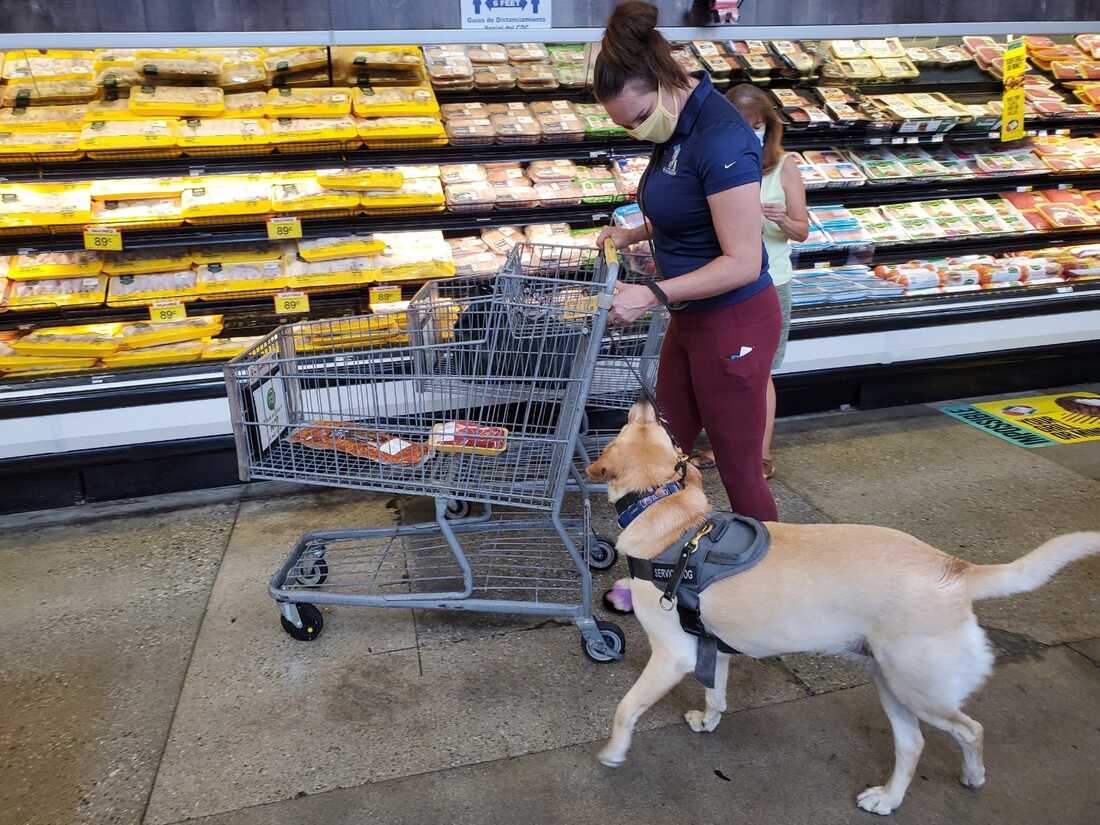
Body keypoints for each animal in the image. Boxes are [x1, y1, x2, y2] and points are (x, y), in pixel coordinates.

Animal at [589, 400, 1095, 814]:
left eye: (629, 424)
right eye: (657, 429)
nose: (645, 400)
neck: (671, 515)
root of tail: (954, 568)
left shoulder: (673, 655)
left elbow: (625, 708)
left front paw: (614, 752)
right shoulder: (711, 646)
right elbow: (717, 692)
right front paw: (708, 720)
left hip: (919, 688)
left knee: (970, 730)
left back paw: (972, 776)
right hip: (890, 683)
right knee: (913, 745)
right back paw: (888, 799)